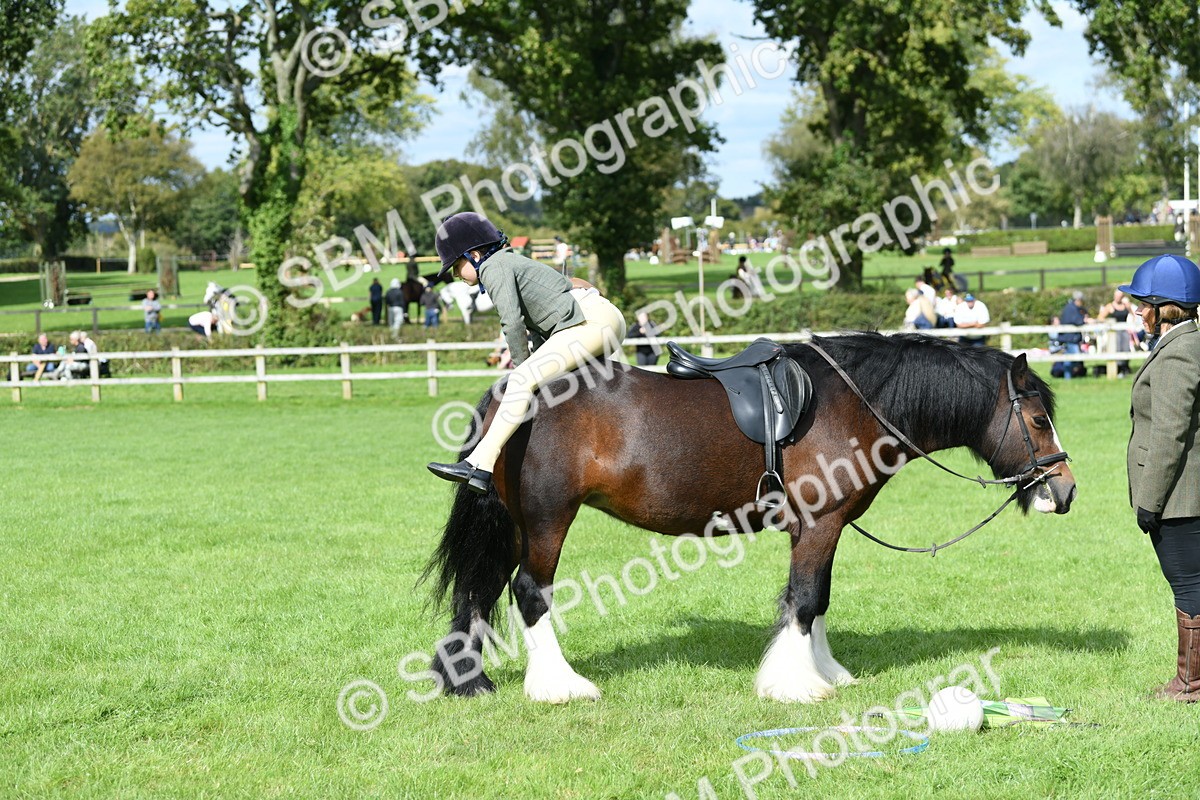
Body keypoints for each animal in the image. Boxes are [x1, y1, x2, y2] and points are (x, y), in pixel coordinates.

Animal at [422, 332, 1077, 703]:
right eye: (1038, 419)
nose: (1064, 491)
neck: (854, 402)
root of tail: (512, 390)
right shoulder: (821, 523)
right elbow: (805, 601)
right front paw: (795, 685)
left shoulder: (823, 528)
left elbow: (816, 600)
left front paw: (825, 671)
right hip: (547, 520)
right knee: (530, 592)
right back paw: (560, 687)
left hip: (513, 523)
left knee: (479, 591)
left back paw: (469, 680)